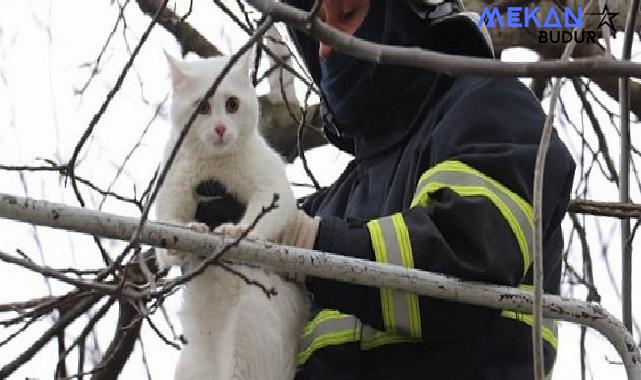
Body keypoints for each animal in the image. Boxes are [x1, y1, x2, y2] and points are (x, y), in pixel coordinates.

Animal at [154, 52, 306, 380]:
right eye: (203, 107)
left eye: (232, 104)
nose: (221, 128)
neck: (215, 166)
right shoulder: (170, 192)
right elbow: (168, 229)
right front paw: (188, 234)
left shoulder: (272, 185)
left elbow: (267, 211)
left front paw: (237, 231)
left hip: (250, 326)